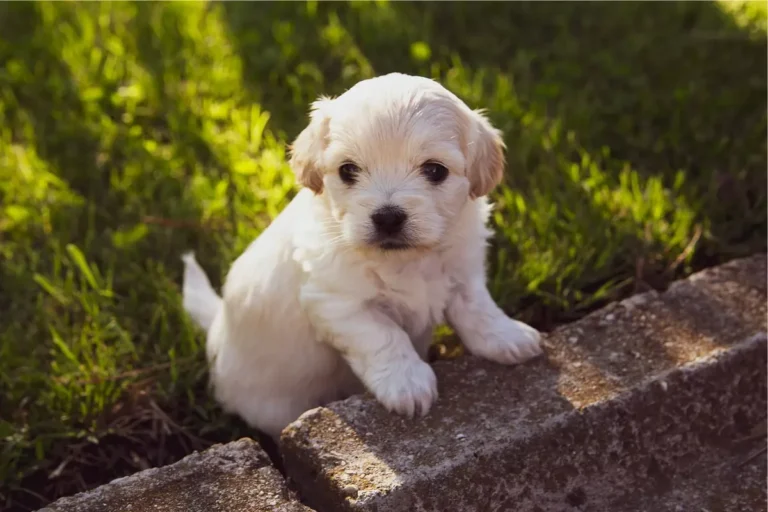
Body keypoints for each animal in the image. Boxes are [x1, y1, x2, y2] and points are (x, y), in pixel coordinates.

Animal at [182, 73, 540, 440]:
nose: (388, 217)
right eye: (348, 170)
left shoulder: (463, 271)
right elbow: (384, 335)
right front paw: (407, 383)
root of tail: (217, 329)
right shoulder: (337, 303)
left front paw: (506, 336)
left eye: (435, 171)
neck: (405, 260)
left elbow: (478, 308)